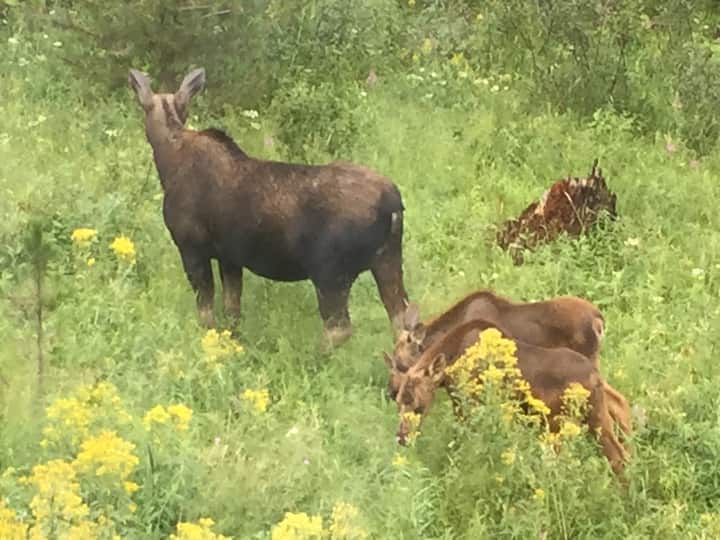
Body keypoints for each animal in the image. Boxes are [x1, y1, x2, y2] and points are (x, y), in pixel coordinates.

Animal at [128, 67, 409, 348]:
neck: (167, 159)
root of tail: (393, 204)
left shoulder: (191, 246)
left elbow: (206, 310)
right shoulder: (230, 257)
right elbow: (232, 308)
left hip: (331, 271)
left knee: (339, 327)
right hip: (388, 260)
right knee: (403, 317)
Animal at [388, 318, 630, 475]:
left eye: (418, 406)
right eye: (398, 402)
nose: (401, 438)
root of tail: (595, 377)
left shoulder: (467, 405)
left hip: (563, 422)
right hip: (594, 416)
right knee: (620, 454)